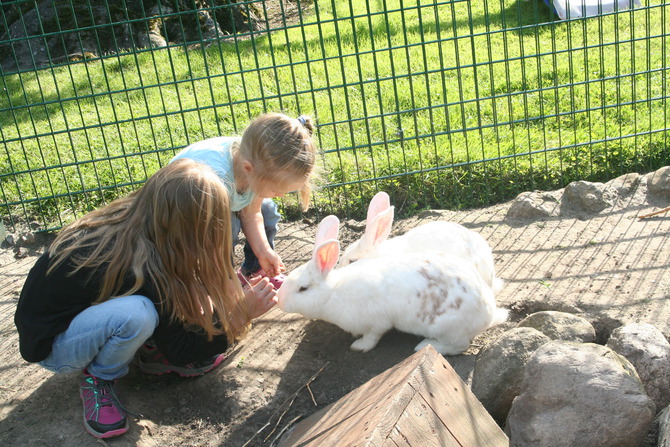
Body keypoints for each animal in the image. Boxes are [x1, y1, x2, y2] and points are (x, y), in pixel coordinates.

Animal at [278, 215, 510, 356]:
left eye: (303, 288)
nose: (280, 300)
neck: (333, 292)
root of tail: (488, 313)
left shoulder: (377, 323)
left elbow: (372, 337)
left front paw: (359, 346)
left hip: (447, 328)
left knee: (459, 346)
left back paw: (426, 345)